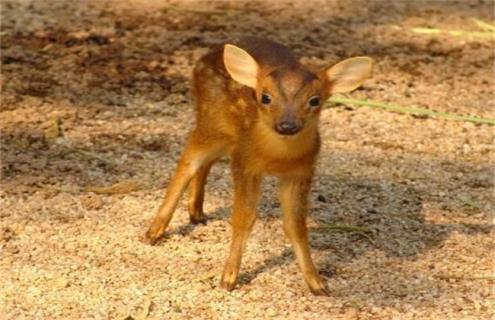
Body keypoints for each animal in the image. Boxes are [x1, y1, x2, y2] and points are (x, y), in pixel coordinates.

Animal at [143, 37, 372, 296]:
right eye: (265, 97)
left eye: (315, 100)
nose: (287, 125)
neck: (276, 159)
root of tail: (206, 56)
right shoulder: (245, 164)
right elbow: (244, 218)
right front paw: (228, 279)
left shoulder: (301, 172)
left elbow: (295, 226)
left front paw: (317, 284)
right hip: (210, 122)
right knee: (188, 162)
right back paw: (154, 232)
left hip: (224, 137)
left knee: (207, 162)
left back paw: (197, 213)